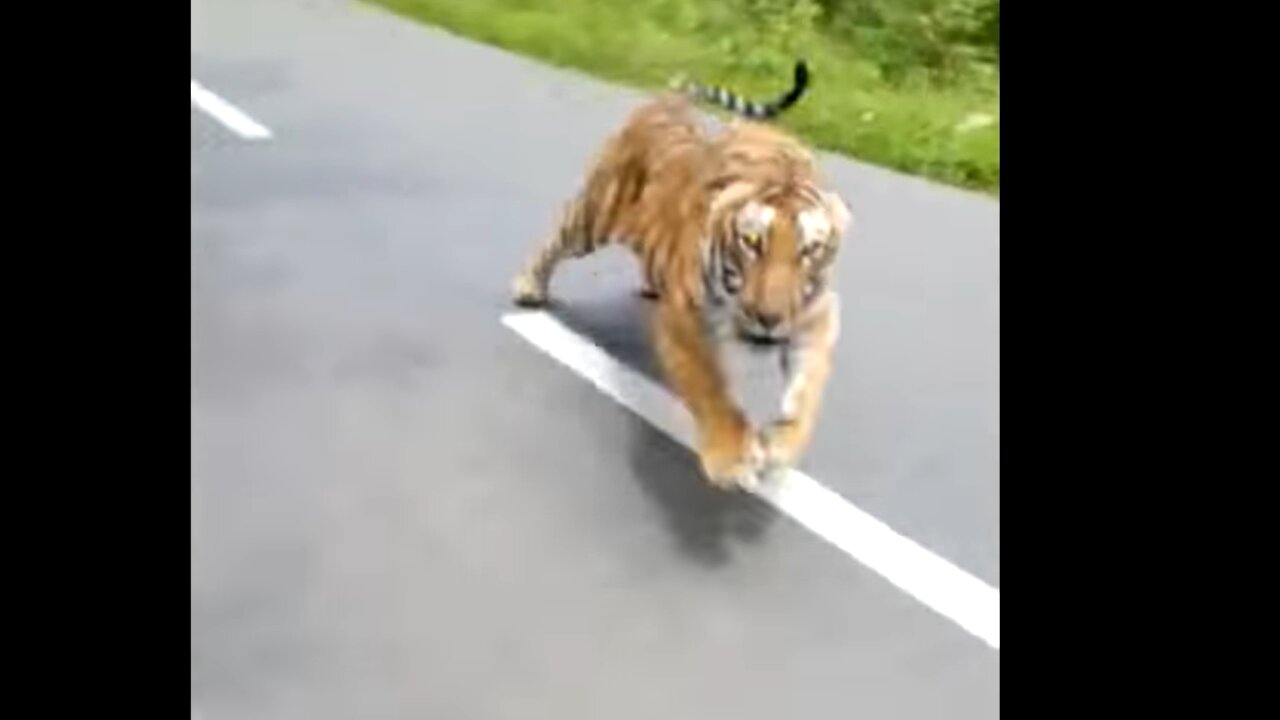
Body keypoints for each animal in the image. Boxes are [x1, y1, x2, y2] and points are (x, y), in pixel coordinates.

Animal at [506, 60, 849, 486]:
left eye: (809, 250)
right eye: (752, 243)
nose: (768, 319)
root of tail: (668, 101)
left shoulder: (816, 319)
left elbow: (807, 390)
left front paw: (780, 447)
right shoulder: (686, 320)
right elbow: (711, 386)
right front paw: (730, 458)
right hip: (593, 215)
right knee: (554, 240)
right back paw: (528, 287)